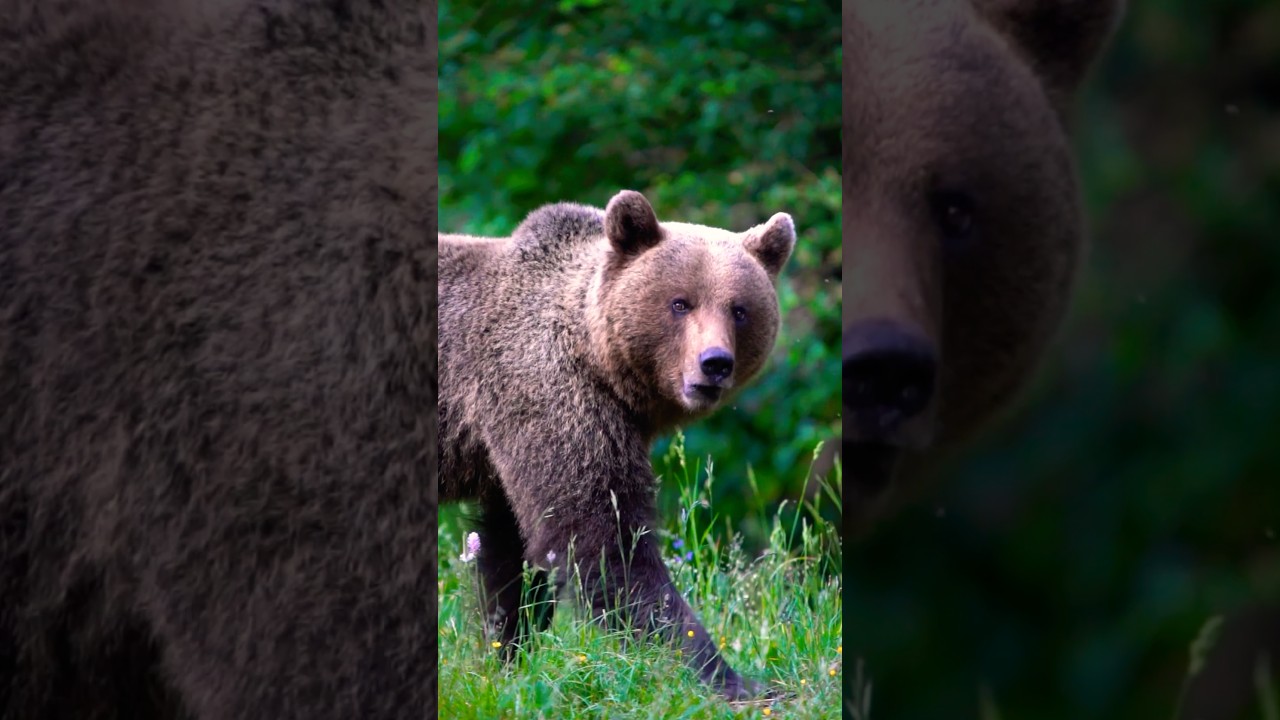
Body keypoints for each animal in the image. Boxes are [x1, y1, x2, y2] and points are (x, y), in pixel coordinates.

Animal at [438, 190, 796, 701]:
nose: (714, 364)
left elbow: (513, 556)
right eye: (680, 302)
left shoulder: (510, 446)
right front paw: (726, 676)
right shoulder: (549, 395)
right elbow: (605, 543)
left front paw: (506, 657)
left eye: (740, 309)